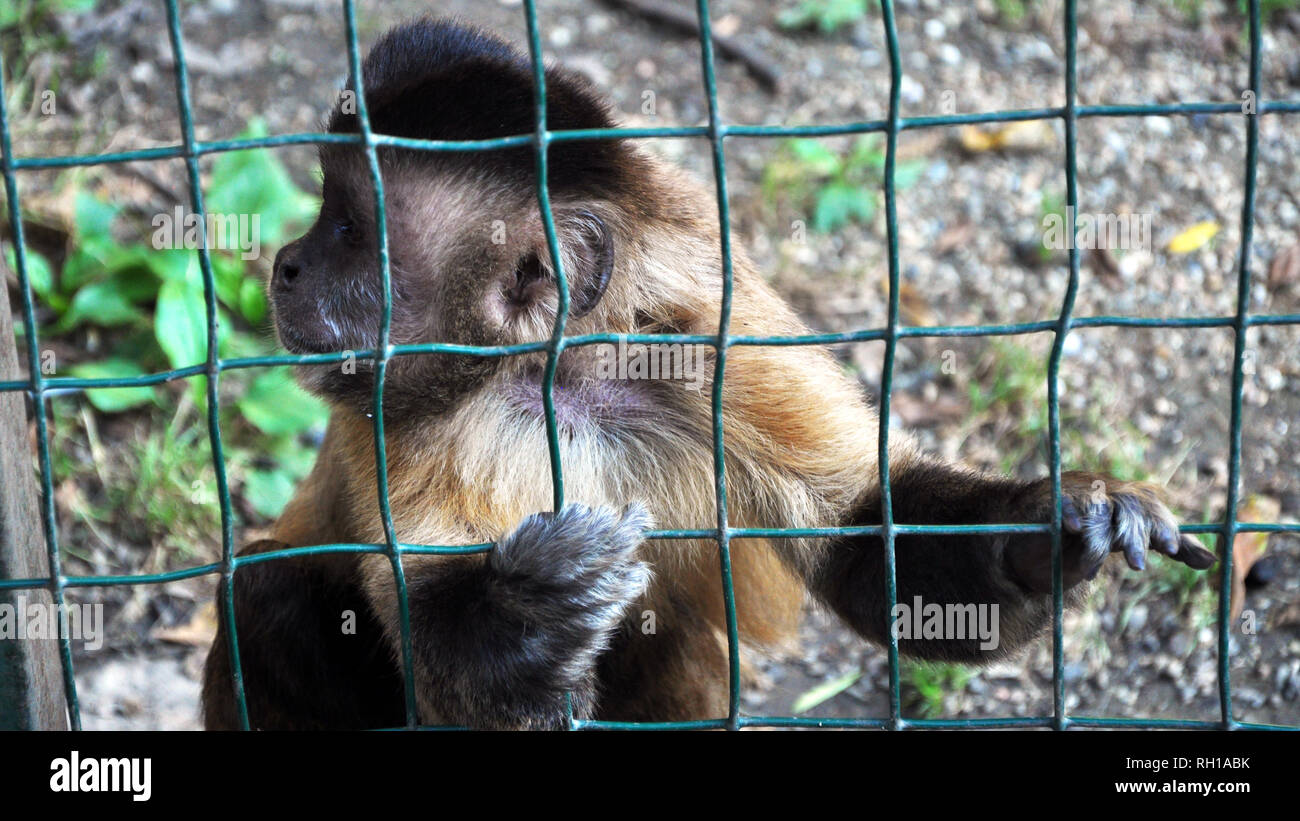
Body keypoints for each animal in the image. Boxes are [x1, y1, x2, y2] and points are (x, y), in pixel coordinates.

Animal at [197, 16, 1211, 727]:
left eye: (348, 232)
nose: (286, 263)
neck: (559, 375)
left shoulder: (710, 336)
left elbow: (863, 533)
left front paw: (1048, 533)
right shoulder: (402, 410)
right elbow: (442, 644)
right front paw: (530, 612)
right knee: (269, 598)